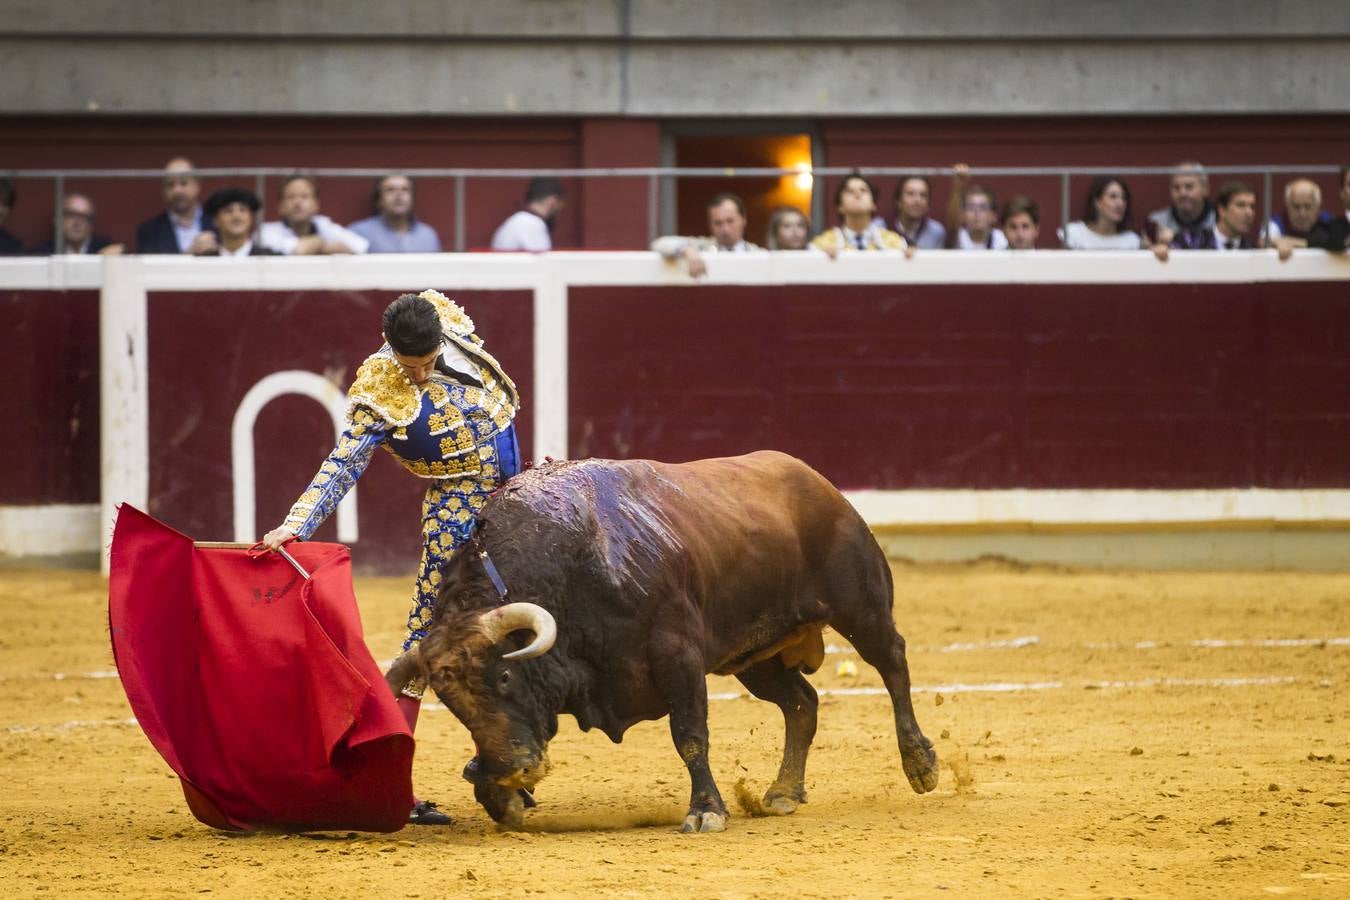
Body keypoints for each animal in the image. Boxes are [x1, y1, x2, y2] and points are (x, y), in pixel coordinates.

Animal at [386, 453, 939, 836]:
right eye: (450, 702)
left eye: (503, 674)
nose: (513, 769)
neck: (571, 565)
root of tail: (821, 485)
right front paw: (501, 796)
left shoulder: (679, 657)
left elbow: (690, 735)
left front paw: (706, 812)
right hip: (753, 656)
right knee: (802, 703)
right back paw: (783, 792)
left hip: (860, 606)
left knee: (893, 663)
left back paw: (920, 763)